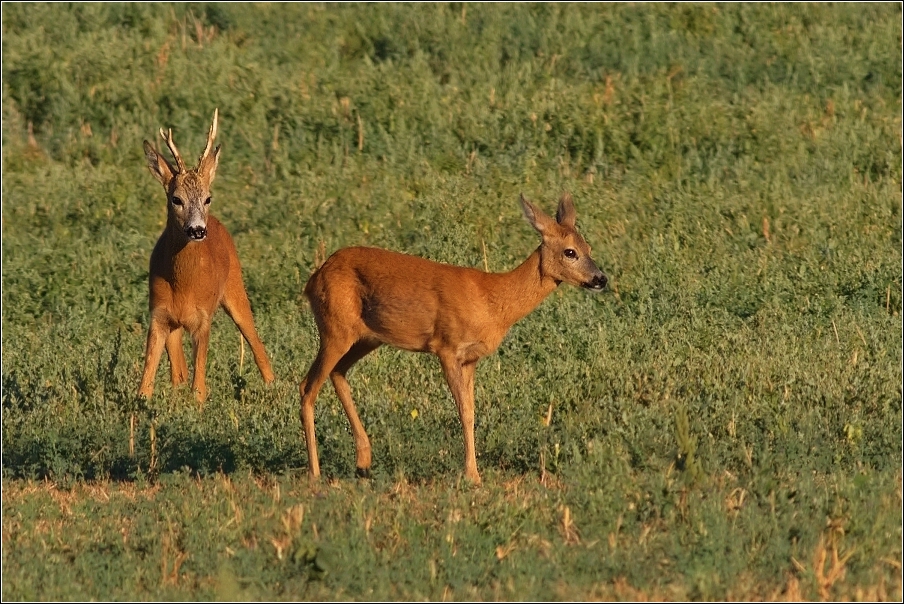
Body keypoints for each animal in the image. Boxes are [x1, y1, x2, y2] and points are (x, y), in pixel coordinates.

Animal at [138, 109, 276, 404]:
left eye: (208, 198)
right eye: (176, 199)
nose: (198, 230)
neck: (183, 285)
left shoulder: (203, 319)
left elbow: (198, 386)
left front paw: (197, 405)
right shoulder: (158, 315)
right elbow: (147, 381)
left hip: (236, 287)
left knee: (255, 340)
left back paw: (274, 387)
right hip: (176, 326)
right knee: (178, 371)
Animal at [298, 193, 608, 486]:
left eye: (589, 249)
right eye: (570, 252)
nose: (600, 279)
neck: (493, 301)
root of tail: (312, 280)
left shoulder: (470, 358)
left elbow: (470, 411)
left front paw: (472, 471)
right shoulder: (446, 347)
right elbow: (462, 411)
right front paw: (472, 475)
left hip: (366, 338)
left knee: (337, 373)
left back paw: (363, 460)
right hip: (334, 328)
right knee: (307, 386)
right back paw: (314, 473)